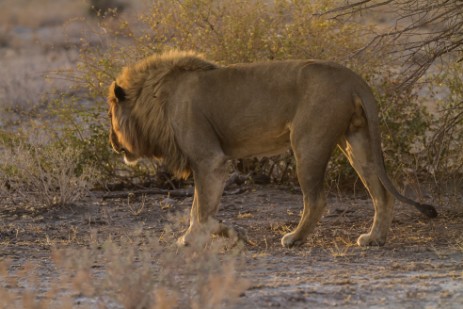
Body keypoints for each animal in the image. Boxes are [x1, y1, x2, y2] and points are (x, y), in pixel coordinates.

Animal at [109, 51, 438, 248]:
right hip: (356, 143)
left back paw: (294, 238)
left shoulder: (209, 159)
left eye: (110, 113)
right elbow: (201, 208)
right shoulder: (208, 162)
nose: (112, 142)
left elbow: (200, 210)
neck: (158, 98)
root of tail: (354, 79)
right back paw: (374, 238)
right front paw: (224, 231)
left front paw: (195, 237)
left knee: (316, 200)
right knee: (381, 193)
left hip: (308, 142)